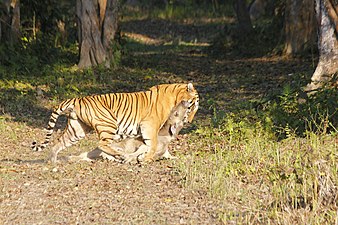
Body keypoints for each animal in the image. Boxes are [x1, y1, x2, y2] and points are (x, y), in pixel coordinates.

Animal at [31, 83, 198, 163]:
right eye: (193, 106)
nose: (189, 121)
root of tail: (77, 99)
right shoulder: (150, 126)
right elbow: (152, 144)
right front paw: (145, 158)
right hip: (109, 124)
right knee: (101, 144)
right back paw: (119, 155)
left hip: (77, 130)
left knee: (58, 143)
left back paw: (53, 161)